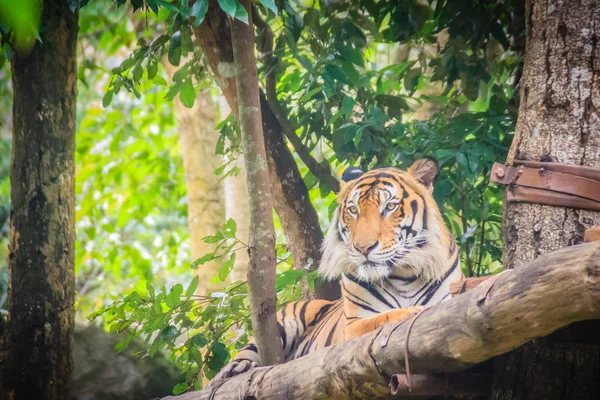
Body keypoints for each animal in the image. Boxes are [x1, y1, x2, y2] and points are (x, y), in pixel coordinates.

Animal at [213, 157, 462, 382]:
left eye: (390, 207)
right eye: (353, 210)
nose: (363, 248)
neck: (404, 276)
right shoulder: (353, 326)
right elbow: (384, 317)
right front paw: (412, 312)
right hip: (286, 320)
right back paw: (235, 369)